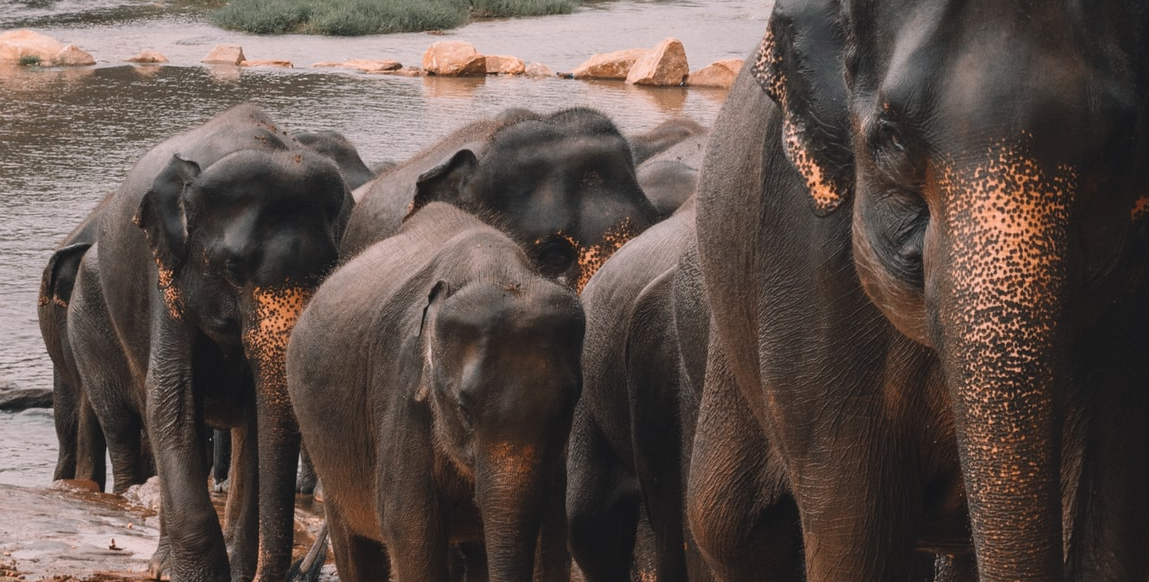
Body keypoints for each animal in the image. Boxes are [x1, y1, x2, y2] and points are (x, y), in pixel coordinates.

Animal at [61, 103, 349, 582]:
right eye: (232, 270)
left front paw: (234, 567)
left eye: (329, 269)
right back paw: (160, 564)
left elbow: (256, 418)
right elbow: (171, 403)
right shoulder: (165, 277)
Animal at [287, 202, 583, 582]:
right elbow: (411, 532)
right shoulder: (403, 390)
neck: (494, 271)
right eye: (465, 411)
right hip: (327, 449)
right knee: (354, 544)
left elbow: (553, 532)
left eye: (566, 408)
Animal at [689, 1, 1149, 582]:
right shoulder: (804, 264)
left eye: (1121, 145)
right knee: (728, 525)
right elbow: (853, 539)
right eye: (892, 137)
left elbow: (1109, 522)